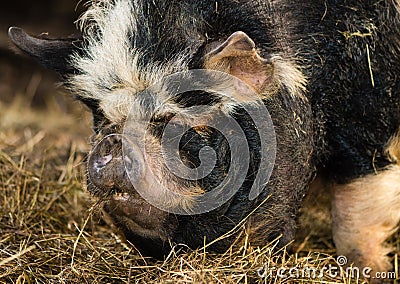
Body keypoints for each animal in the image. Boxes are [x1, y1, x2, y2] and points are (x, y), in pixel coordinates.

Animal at [7, 0, 400, 276]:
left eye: (171, 120)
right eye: (102, 118)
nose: (114, 141)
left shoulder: (369, 125)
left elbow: (354, 217)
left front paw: (370, 272)